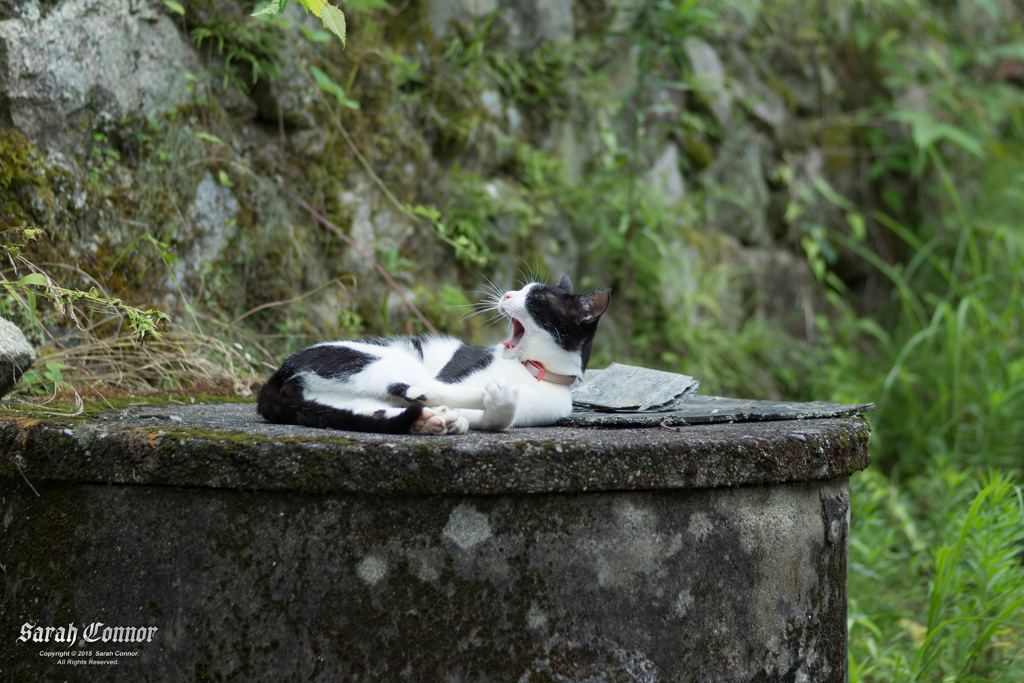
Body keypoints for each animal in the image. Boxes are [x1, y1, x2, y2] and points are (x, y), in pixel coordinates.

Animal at [256, 274, 606, 436]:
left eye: (535, 299)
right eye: (520, 290)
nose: (507, 295)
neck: (533, 371)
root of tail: (283, 368)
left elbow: (495, 419)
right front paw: (497, 394)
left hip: (343, 400)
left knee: (383, 407)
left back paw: (429, 420)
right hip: (393, 360)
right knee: (417, 388)